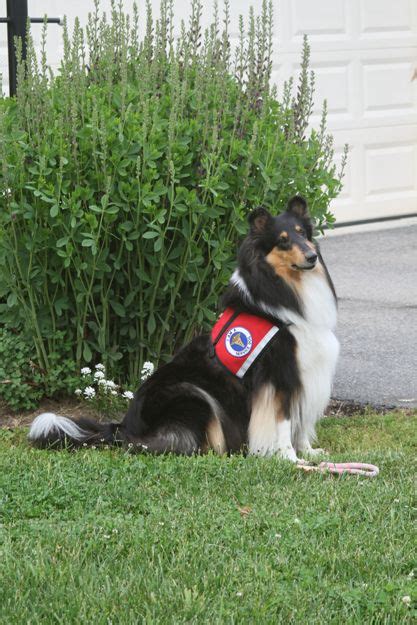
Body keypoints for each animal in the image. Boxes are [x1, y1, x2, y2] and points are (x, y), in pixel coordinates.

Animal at [28, 197, 338, 460]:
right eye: (282, 241)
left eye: (302, 233)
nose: (312, 256)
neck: (285, 289)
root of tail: (123, 428)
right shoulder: (279, 375)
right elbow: (283, 420)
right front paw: (289, 458)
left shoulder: (306, 374)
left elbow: (300, 421)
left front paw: (309, 452)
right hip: (194, 393)